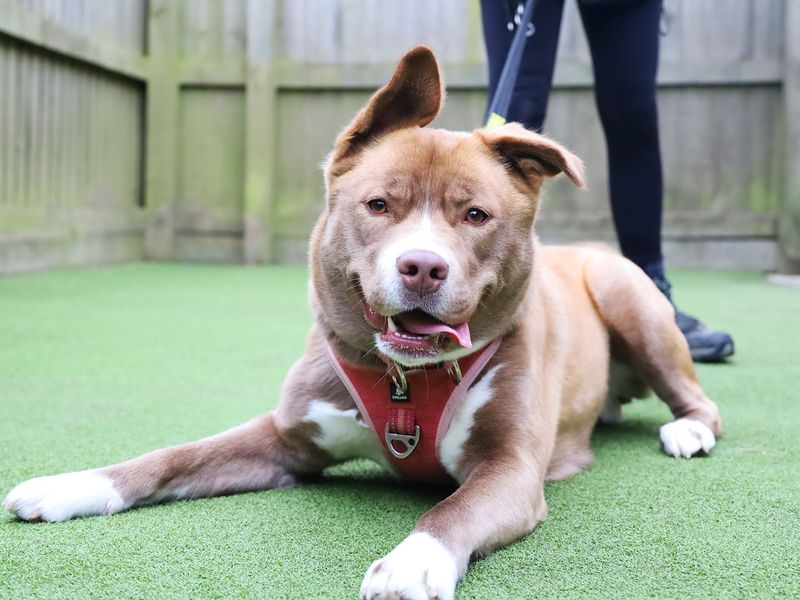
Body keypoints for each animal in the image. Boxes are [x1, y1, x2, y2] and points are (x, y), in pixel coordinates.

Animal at [3, 48, 720, 600]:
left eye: (476, 215)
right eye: (379, 204)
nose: (423, 267)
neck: (405, 377)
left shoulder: (511, 468)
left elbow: (453, 506)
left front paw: (412, 562)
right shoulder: (287, 438)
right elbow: (174, 457)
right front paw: (73, 484)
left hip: (632, 301)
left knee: (699, 400)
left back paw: (687, 431)